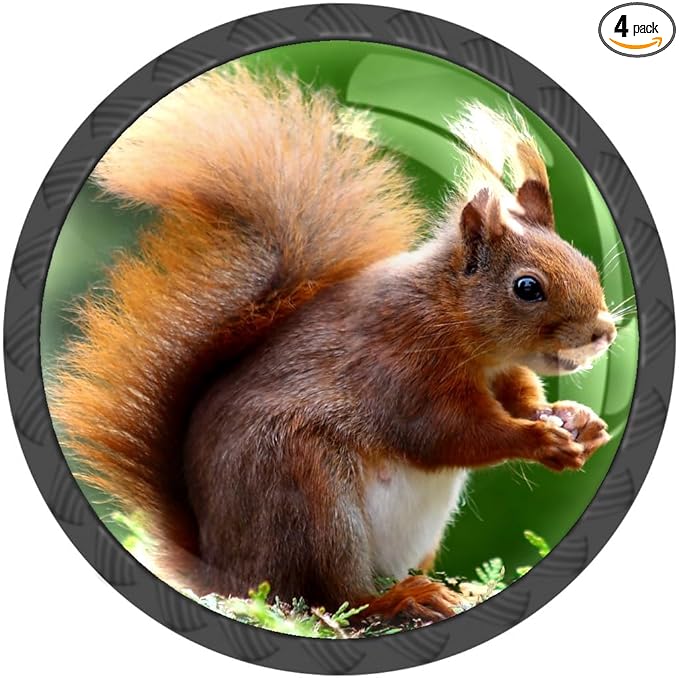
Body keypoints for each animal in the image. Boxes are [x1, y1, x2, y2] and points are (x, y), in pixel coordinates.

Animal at [49, 65, 616, 623]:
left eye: (586, 263)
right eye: (528, 287)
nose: (604, 332)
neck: (459, 327)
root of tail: (221, 566)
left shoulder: (503, 372)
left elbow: (521, 398)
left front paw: (578, 420)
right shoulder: (403, 367)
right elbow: (452, 434)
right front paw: (538, 441)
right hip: (309, 495)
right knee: (332, 594)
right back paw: (396, 599)